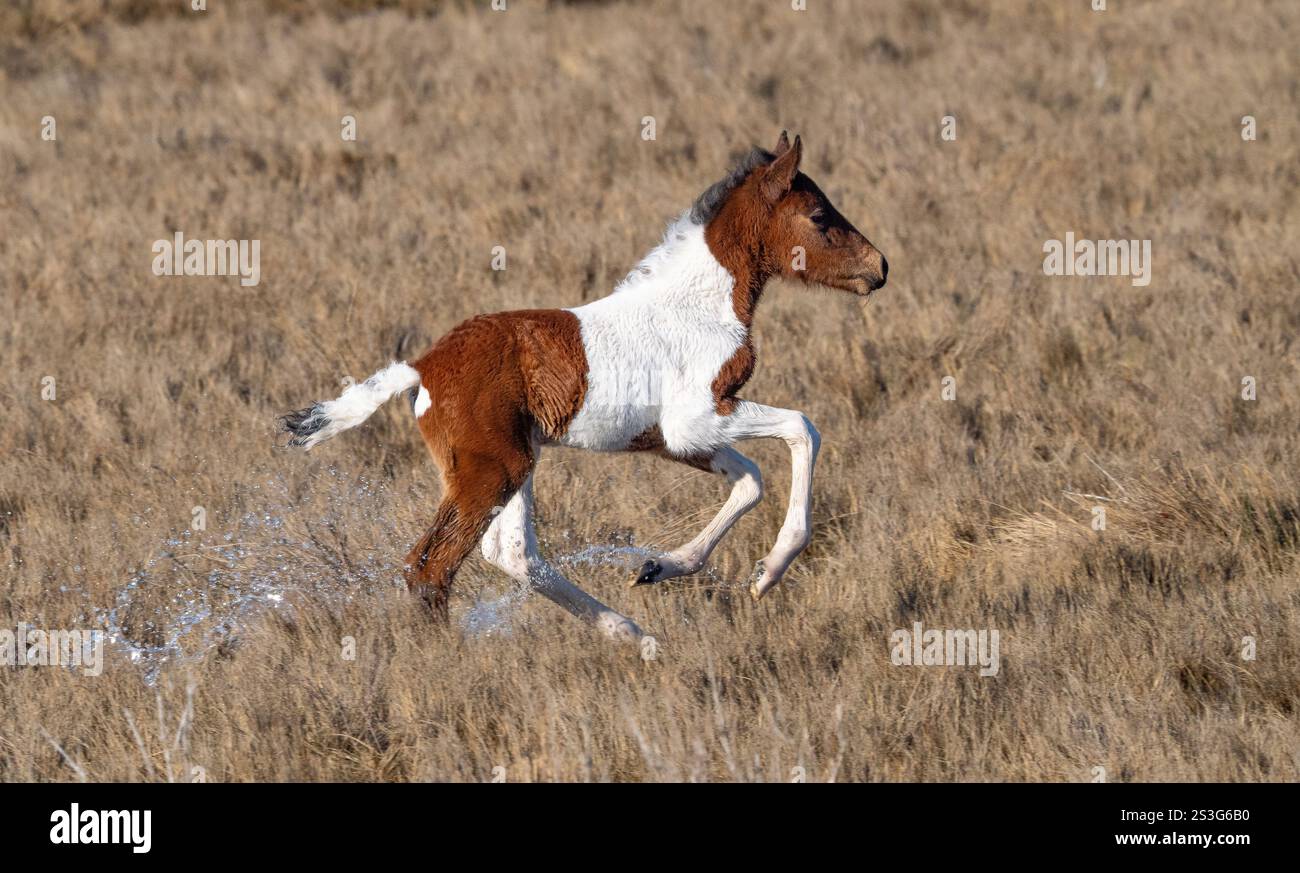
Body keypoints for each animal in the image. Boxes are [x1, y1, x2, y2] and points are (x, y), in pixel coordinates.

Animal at [280, 131, 887, 644]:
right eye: (819, 216)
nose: (879, 267)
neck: (699, 302)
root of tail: (422, 366)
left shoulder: (673, 439)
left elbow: (750, 481)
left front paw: (660, 567)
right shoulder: (695, 418)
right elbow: (802, 428)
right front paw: (769, 573)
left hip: (516, 462)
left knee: (513, 554)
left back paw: (632, 635)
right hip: (492, 470)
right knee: (430, 566)